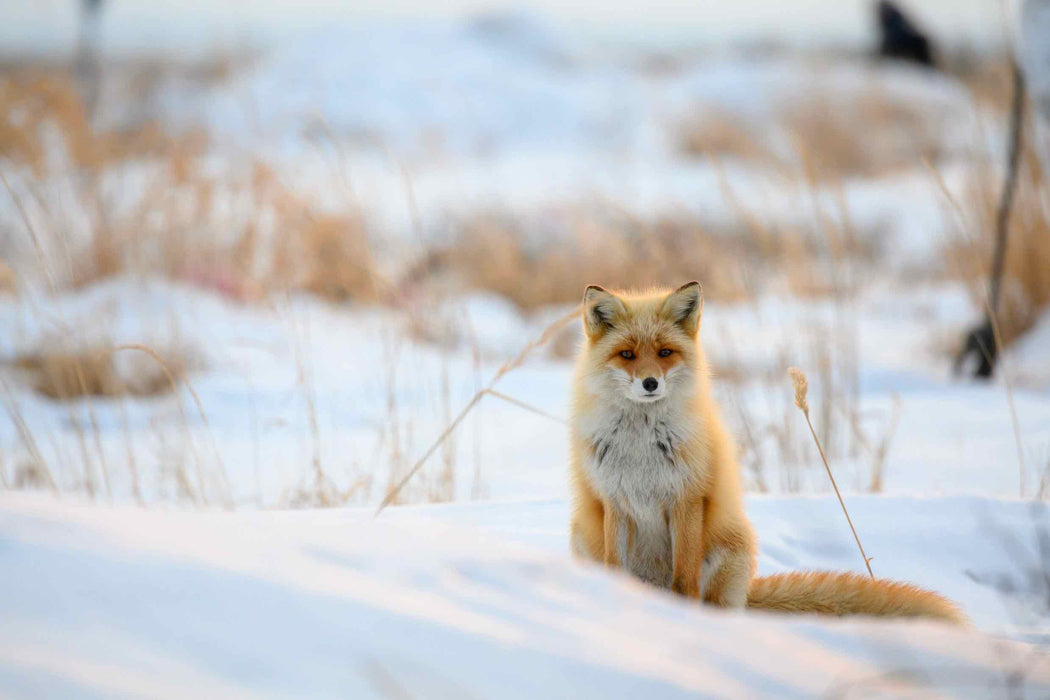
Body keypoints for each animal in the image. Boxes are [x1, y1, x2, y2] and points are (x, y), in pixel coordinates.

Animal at [569, 281, 966, 624]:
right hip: (582, 536)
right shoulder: (615, 501)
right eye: (627, 354)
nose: (650, 383)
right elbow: (614, 567)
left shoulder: (686, 499)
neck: (642, 447)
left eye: (665, 353)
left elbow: (684, 581)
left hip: (732, 549)